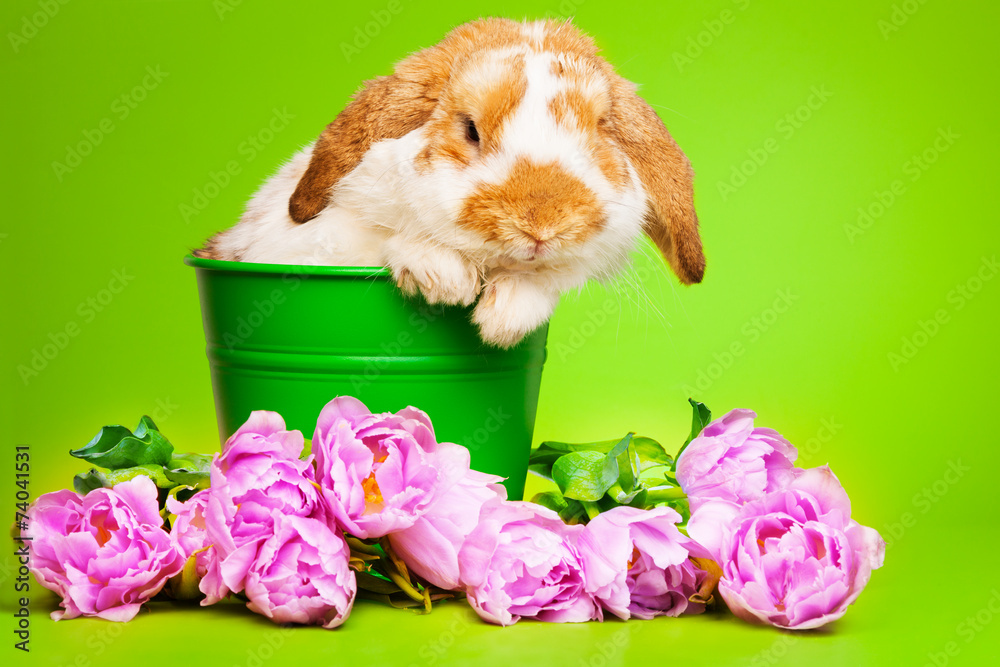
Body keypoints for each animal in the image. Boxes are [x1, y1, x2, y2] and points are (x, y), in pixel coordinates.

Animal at [199, 17, 708, 350]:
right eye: (470, 130)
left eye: (601, 129)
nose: (540, 226)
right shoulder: (315, 243)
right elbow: (384, 238)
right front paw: (446, 281)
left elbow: (540, 281)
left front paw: (502, 320)